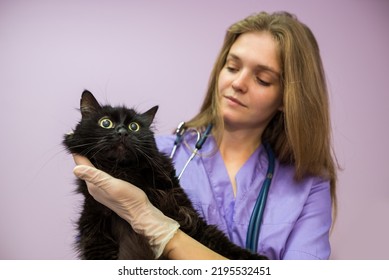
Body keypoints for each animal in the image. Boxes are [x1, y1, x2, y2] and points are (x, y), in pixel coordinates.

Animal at [63, 90, 266, 260]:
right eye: (106, 123)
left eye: (134, 126)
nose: (122, 132)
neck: (124, 173)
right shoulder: (95, 234)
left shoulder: (185, 213)